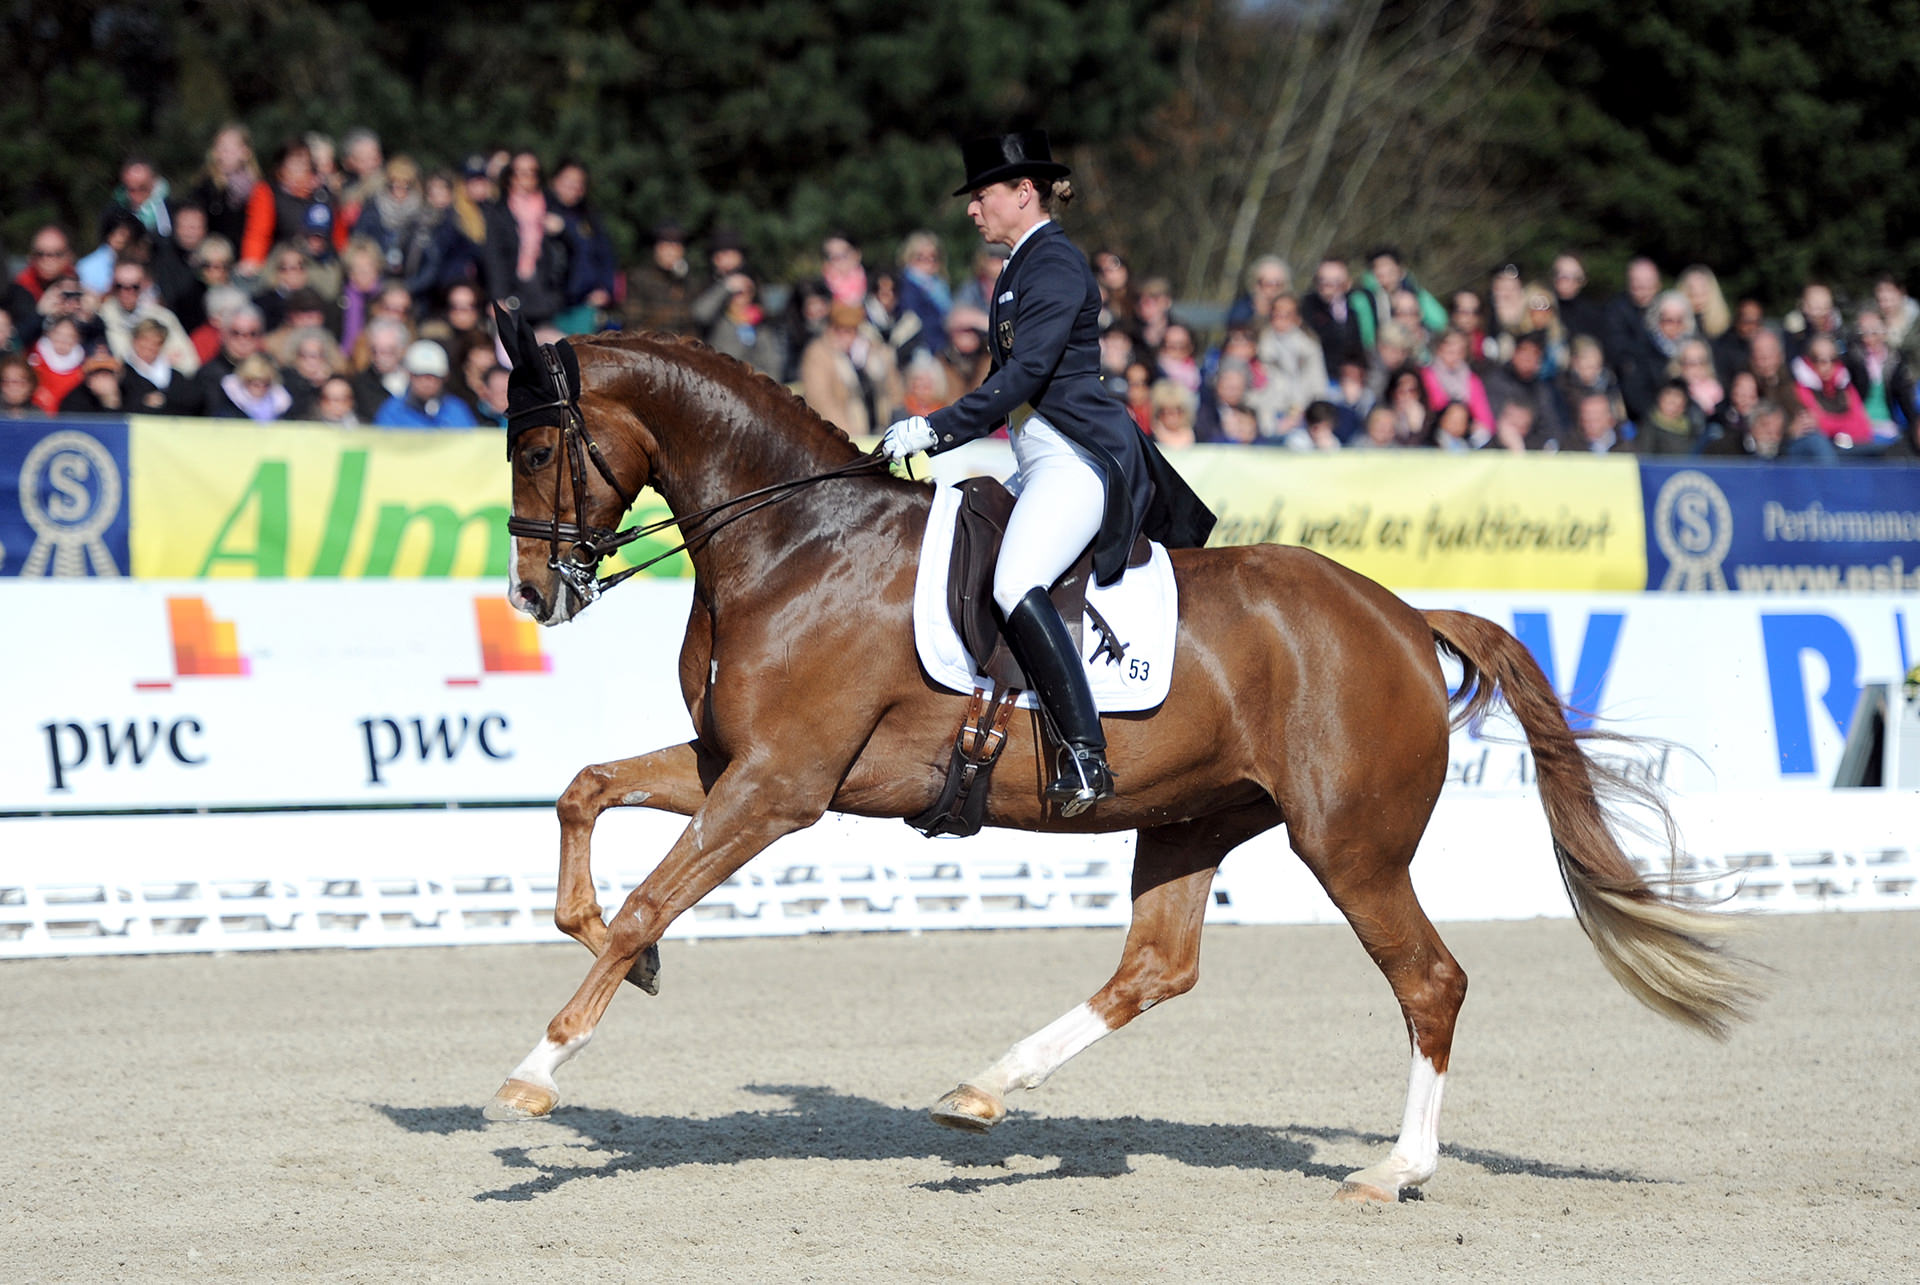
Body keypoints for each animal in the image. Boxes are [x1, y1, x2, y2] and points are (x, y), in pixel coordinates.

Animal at [483, 326, 1758, 1198]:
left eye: (540, 445)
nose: (536, 595)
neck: (796, 542)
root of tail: (1402, 613)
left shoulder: (780, 785)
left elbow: (650, 898)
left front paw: (538, 1069)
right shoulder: (732, 760)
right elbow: (584, 797)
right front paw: (619, 966)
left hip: (1349, 843)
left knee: (1428, 981)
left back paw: (1394, 1170)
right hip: (1193, 818)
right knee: (1157, 966)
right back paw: (985, 1090)